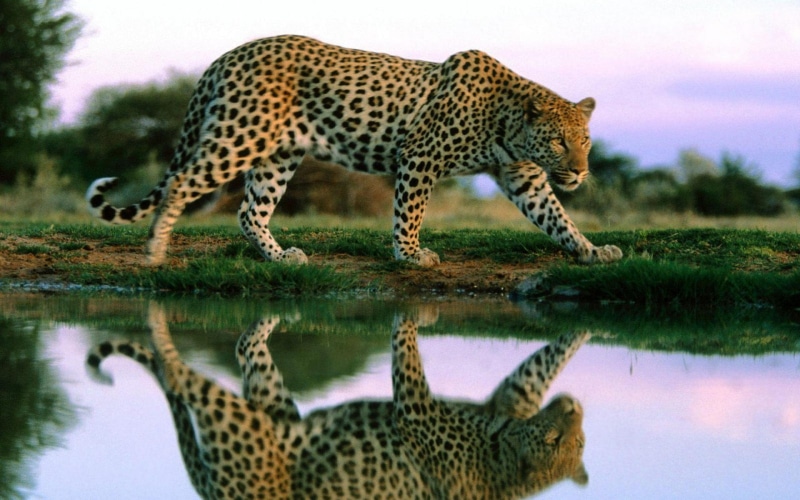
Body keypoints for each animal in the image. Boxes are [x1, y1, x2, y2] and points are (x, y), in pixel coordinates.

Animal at [85, 34, 622, 267]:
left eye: (585, 142)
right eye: (558, 140)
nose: (580, 172)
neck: (507, 122)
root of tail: (228, 55)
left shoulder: (523, 177)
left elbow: (556, 217)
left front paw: (591, 250)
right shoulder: (420, 157)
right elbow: (409, 212)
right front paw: (410, 255)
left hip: (277, 155)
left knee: (249, 210)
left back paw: (280, 257)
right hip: (240, 136)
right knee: (180, 182)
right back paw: (155, 251)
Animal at [87, 302, 589, 499]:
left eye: (578, 442)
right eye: (553, 440)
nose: (574, 407)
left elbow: (541, 363)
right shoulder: (418, 411)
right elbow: (406, 355)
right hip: (242, 427)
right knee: (181, 374)